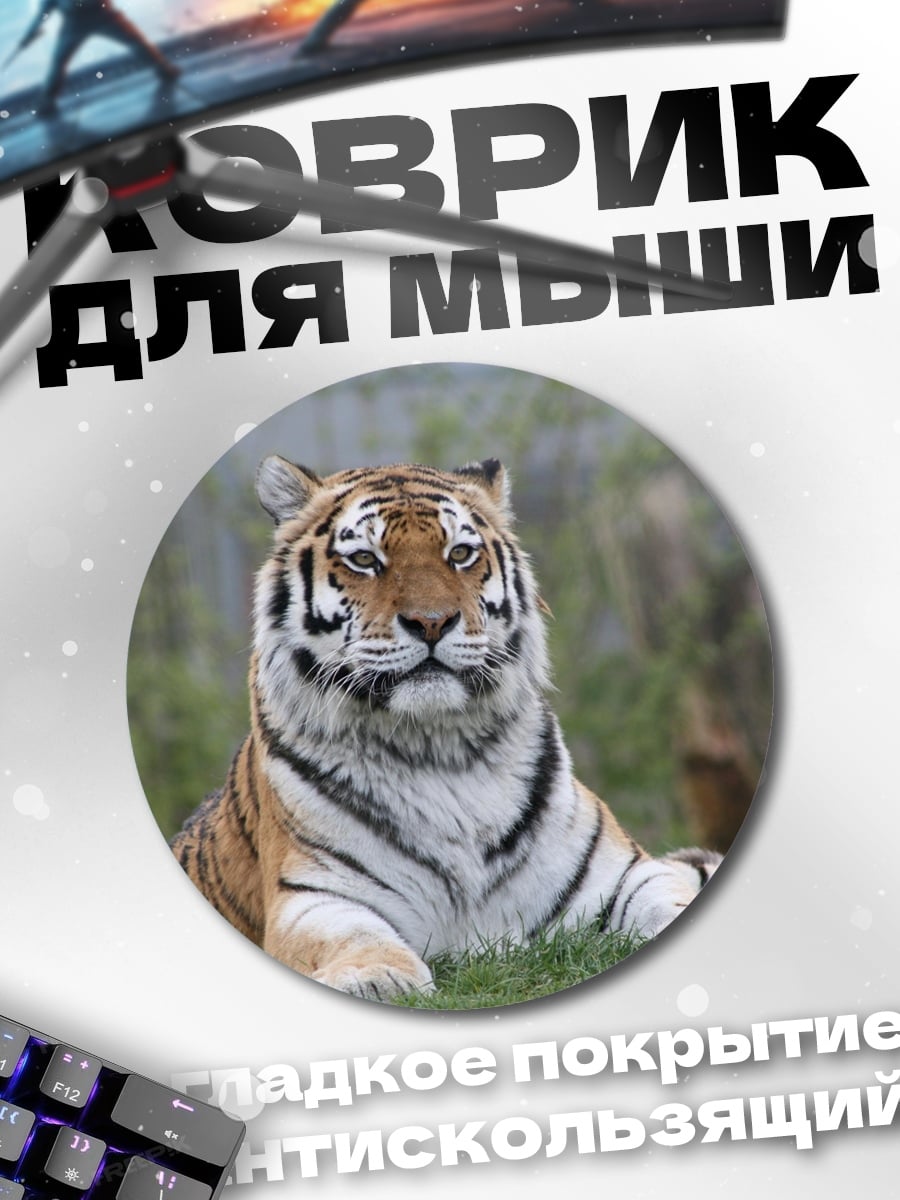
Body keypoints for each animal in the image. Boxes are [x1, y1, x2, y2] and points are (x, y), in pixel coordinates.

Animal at [171, 455, 722, 1001]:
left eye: (459, 553)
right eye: (364, 559)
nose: (432, 622)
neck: (440, 750)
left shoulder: (626, 872)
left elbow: (668, 899)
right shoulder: (313, 895)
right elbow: (357, 936)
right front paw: (377, 978)